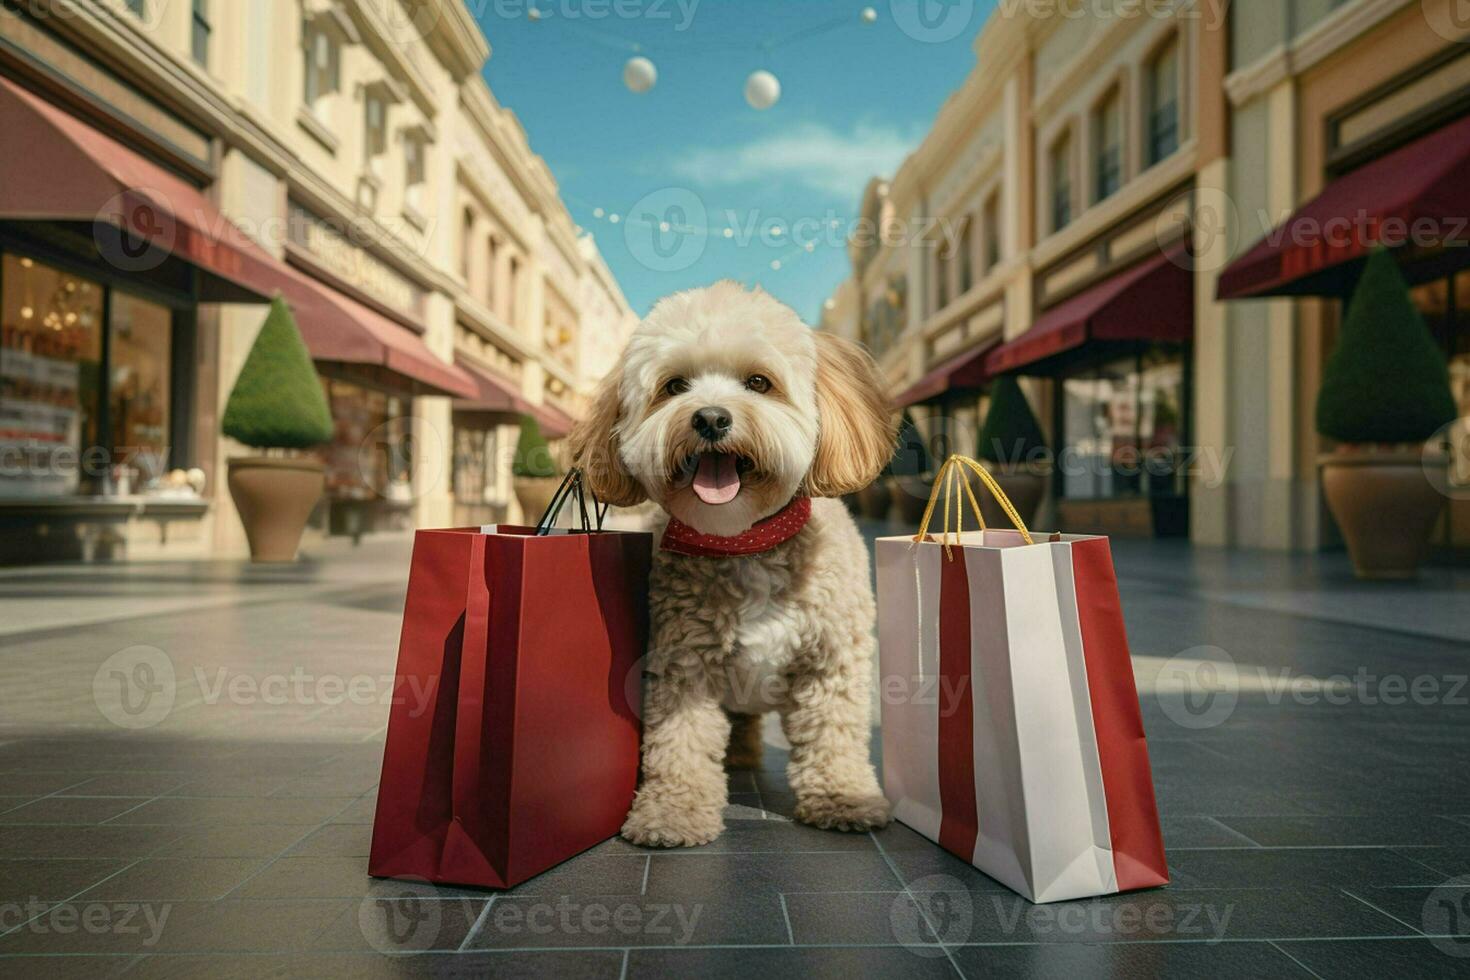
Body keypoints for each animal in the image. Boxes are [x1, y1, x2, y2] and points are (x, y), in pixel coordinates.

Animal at [570, 279, 893, 846]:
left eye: (758, 382)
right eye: (675, 386)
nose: (711, 417)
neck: (744, 540)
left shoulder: (830, 661)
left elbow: (833, 734)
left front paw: (843, 797)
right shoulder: (682, 663)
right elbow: (678, 742)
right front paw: (672, 812)